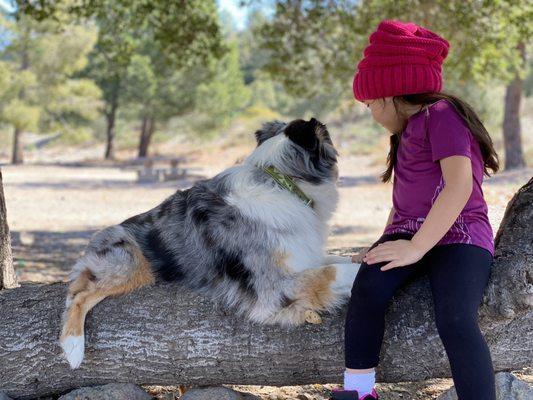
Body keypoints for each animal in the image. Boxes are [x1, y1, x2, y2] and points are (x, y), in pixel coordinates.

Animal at [60, 118, 362, 368]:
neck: (281, 180)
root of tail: (102, 236)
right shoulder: (274, 287)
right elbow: (335, 271)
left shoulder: (304, 256)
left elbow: (341, 260)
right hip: (131, 264)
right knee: (78, 293)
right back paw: (73, 347)